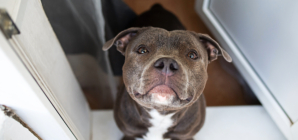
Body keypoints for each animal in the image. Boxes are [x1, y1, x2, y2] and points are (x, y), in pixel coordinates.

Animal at [103, 3, 232, 139]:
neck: (161, 114)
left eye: (192, 55)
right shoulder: (129, 133)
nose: (166, 64)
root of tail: (157, 7)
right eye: (142, 50)